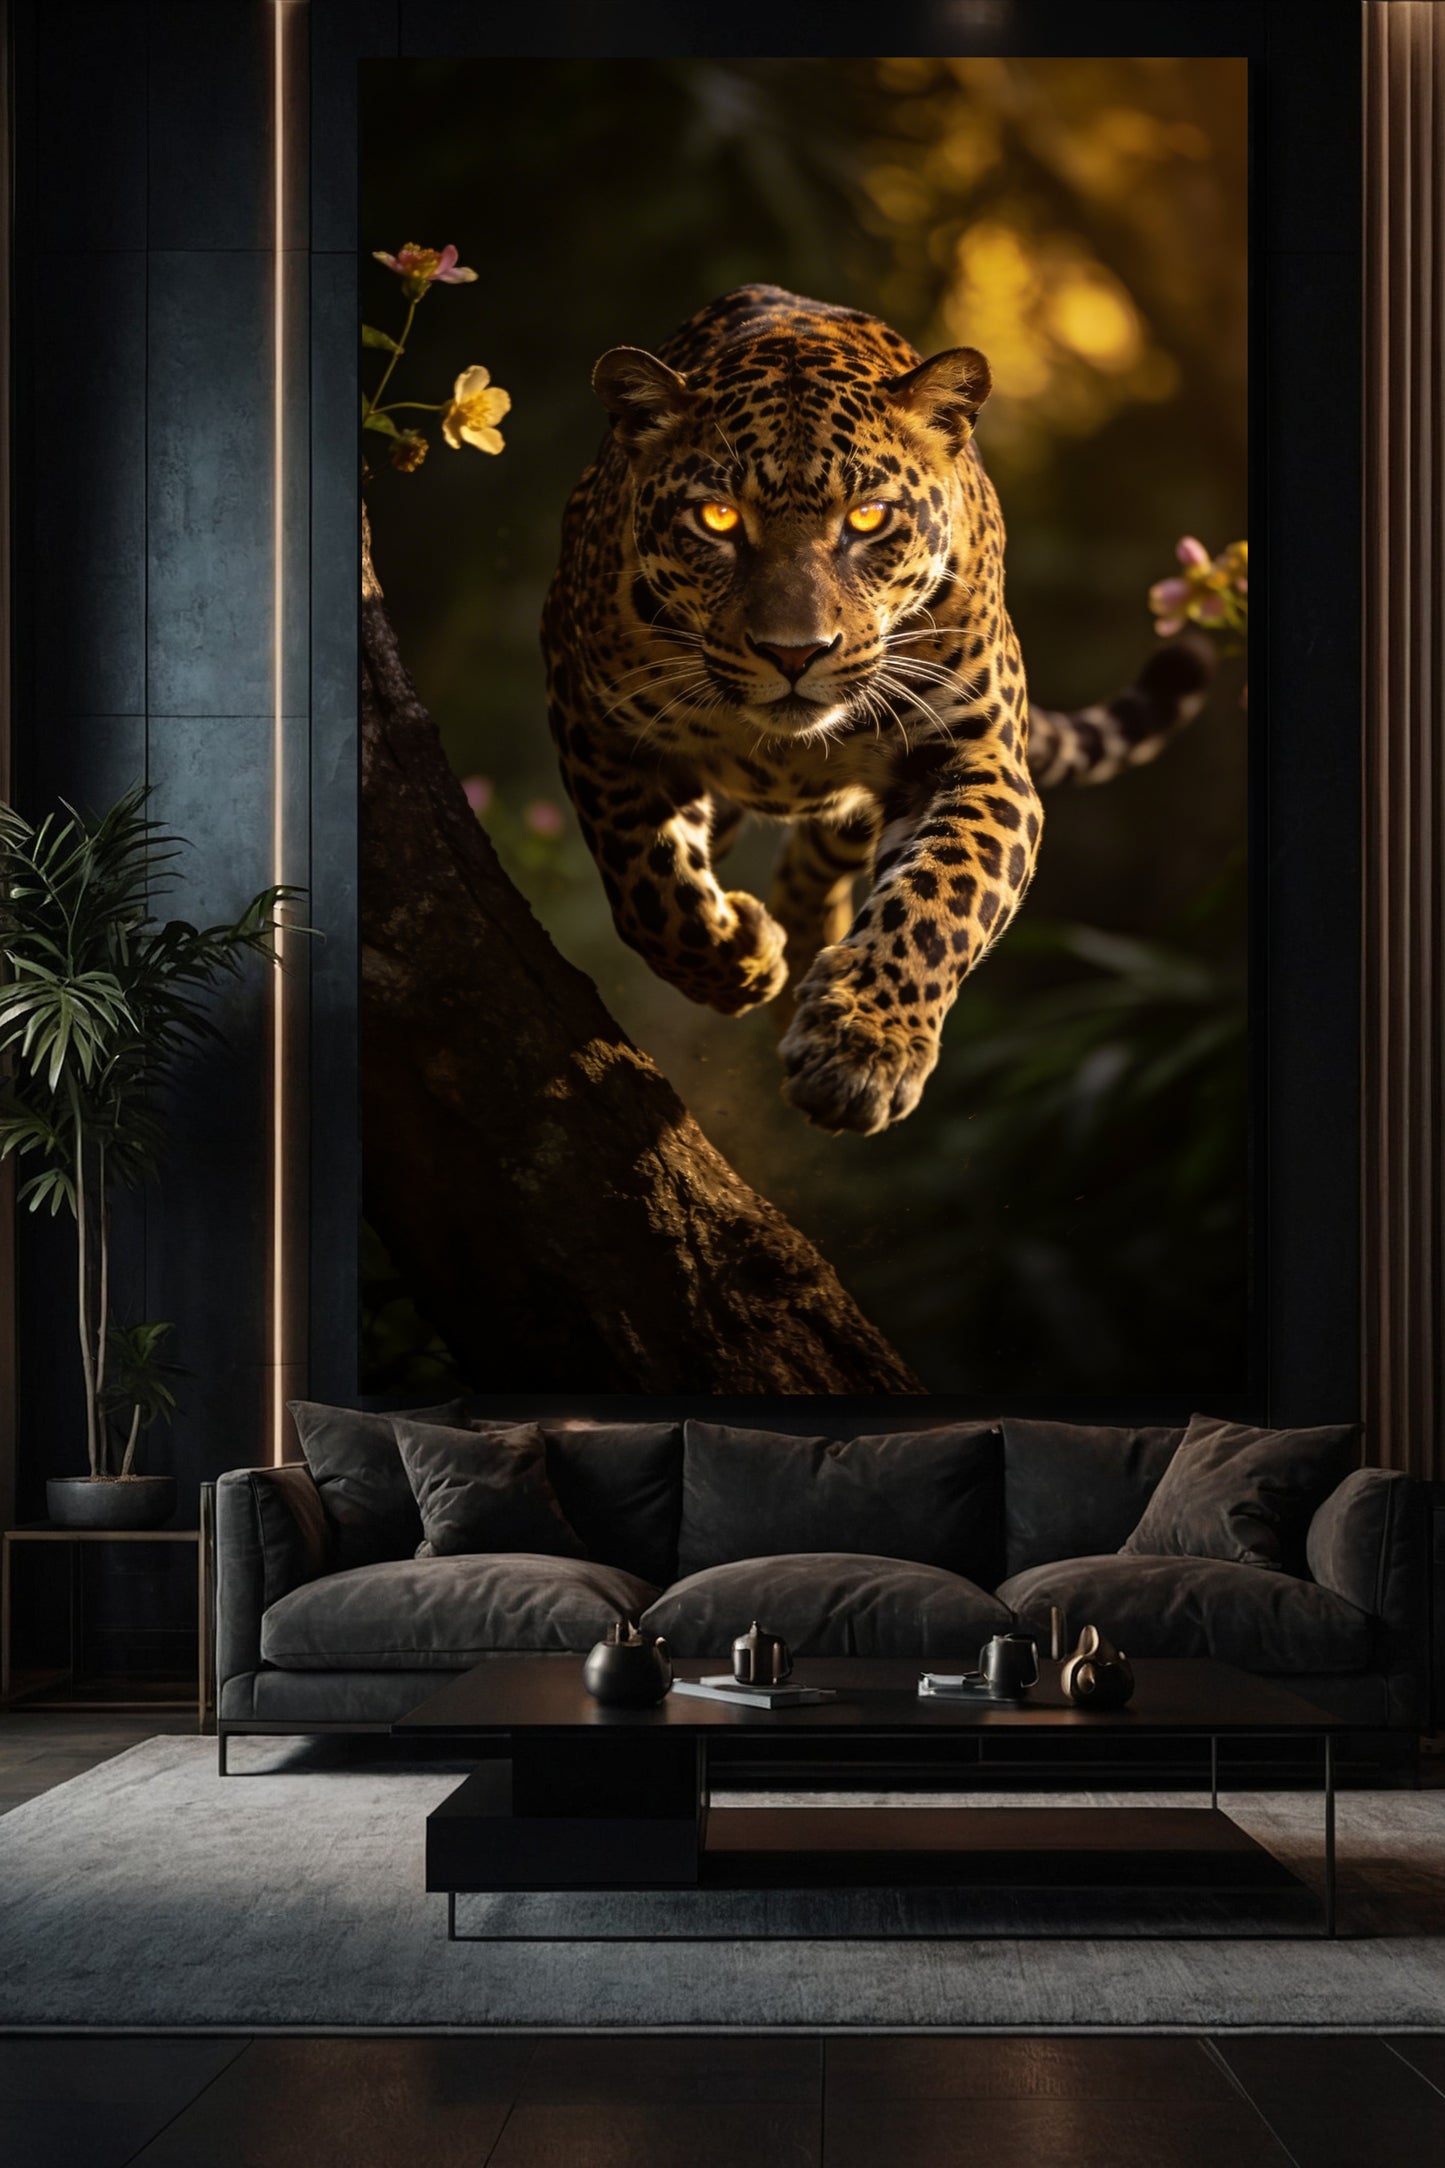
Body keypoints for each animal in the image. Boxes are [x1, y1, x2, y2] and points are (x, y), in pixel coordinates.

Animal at [541, 285, 1210, 1136]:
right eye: (717, 518)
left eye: (867, 518)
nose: (794, 652)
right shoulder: (593, 717)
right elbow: (646, 881)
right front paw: (735, 958)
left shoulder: (973, 757)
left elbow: (943, 898)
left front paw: (861, 1049)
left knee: (814, 860)